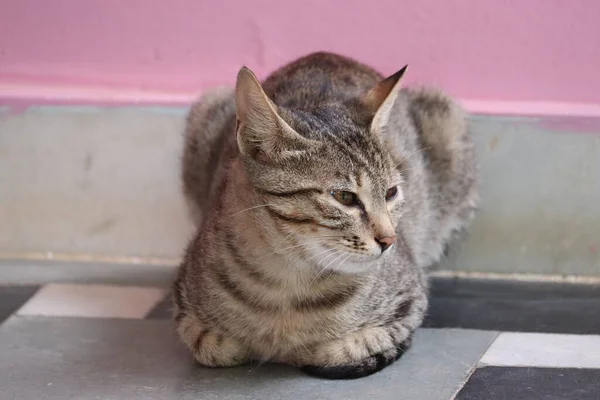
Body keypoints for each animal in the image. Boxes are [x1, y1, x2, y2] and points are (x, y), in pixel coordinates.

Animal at [173, 51, 478, 380]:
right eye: (344, 197)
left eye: (391, 193)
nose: (390, 240)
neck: (288, 281)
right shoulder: (185, 303)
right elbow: (212, 346)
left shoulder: (410, 302)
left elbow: (339, 348)